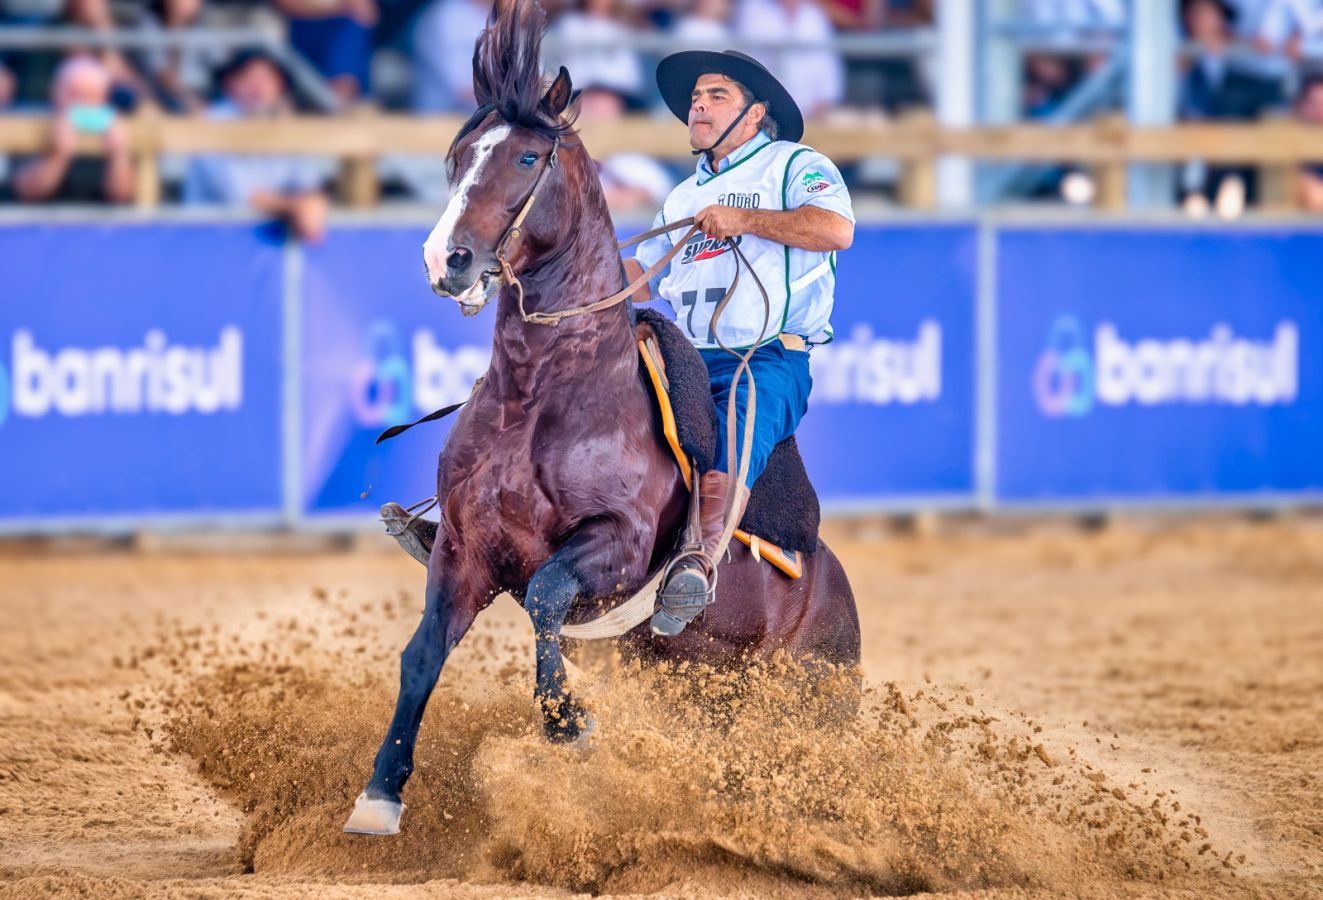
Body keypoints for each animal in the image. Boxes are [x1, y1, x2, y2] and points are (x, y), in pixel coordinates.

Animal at [341, 0, 857, 836]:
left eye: (526, 159)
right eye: (457, 157)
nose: (446, 259)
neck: (541, 399)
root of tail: (831, 584)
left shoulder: (615, 544)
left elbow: (546, 598)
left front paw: (566, 724)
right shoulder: (463, 547)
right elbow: (420, 654)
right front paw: (379, 794)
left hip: (817, 698)